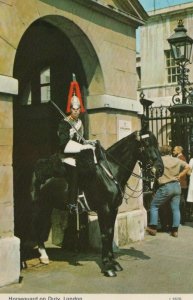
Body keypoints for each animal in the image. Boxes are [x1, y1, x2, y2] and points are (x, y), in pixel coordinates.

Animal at [29, 129, 164, 276]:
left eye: (157, 143)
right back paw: (43, 256)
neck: (110, 171)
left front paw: (113, 263)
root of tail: (38, 167)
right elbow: (105, 234)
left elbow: (110, 233)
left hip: (48, 206)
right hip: (39, 206)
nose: (160, 169)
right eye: (146, 144)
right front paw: (108, 266)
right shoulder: (104, 208)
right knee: (37, 227)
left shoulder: (113, 209)